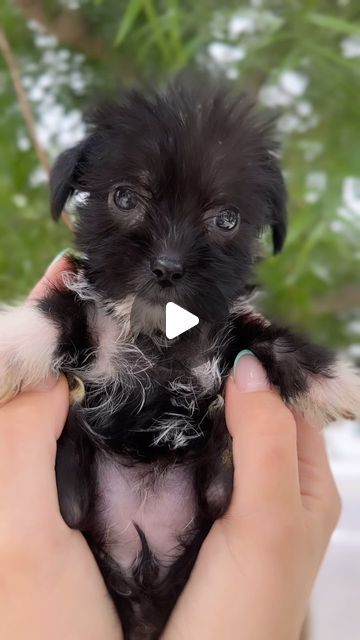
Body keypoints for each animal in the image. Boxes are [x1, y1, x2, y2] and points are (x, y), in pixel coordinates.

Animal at [0, 82, 360, 636]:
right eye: (124, 197)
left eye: (226, 219)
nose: (168, 267)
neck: (159, 339)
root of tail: (142, 579)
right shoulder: (91, 317)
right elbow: (56, 318)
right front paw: (11, 344)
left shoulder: (226, 335)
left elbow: (268, 339)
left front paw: (336, 380)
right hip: (77, 503)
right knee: (74, 502)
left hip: (206, 503)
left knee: (217, 491)